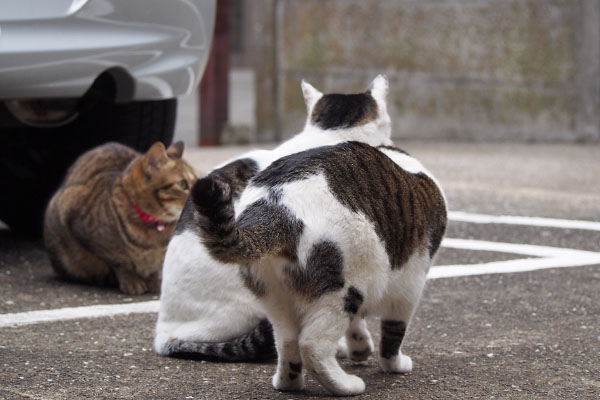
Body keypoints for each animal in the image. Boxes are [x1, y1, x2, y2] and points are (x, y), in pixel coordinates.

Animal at [44, 141, 196, 294]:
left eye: (197, 181)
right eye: (182, 184)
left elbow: (157, 268)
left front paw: (155, 281)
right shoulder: (83, 229)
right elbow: (119, 263)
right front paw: (131, 280)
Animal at [190, 86, 448, 394]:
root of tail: (275, 206)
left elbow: (357, 325)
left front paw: (359, 348)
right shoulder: (411, 282)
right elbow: (393, 333)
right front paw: (394, 365)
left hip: (274, 294)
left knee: (287, 342)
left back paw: (288, 383)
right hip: (342, 289)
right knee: (312, 345)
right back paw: (345, 385)